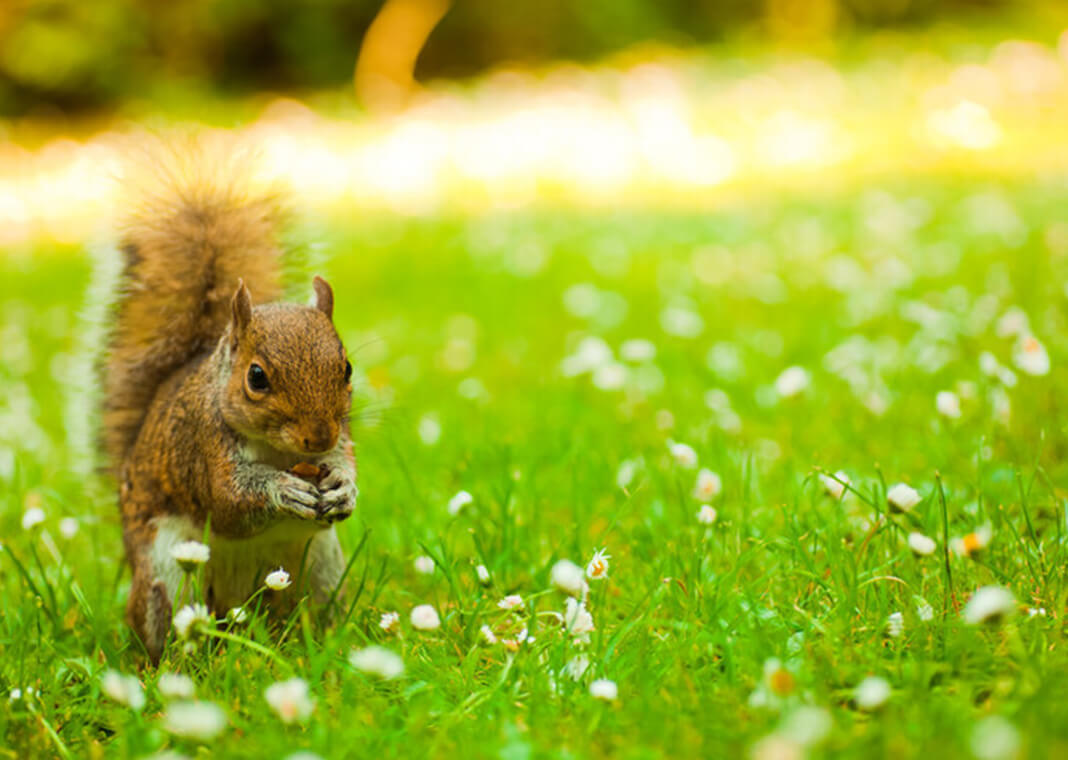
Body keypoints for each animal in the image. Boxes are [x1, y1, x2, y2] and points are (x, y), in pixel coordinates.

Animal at [101, 156, 358, 661]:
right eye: (256, 377)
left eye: (347, 369)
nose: (319, 436)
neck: (280, 452)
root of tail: (242, 609)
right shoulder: (205, 446)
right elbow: (228, 503)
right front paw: (282, 491)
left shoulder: (342, 443)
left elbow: (347, 470)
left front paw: (343, 490)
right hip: (168, 573)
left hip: (322, 568)